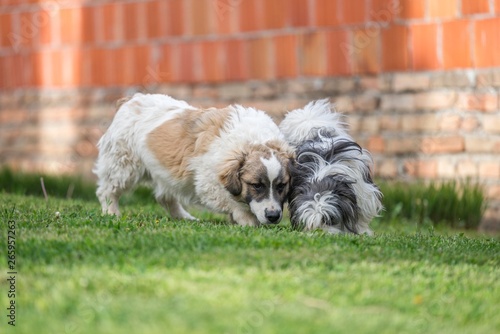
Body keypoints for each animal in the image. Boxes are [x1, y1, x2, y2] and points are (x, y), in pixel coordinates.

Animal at [93, 92, 292, 226]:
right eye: (256, 185)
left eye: (282, 186)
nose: (273, 217)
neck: (252, 142)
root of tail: (130, 100)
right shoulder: (208, 184)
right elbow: (235, 202)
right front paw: (248, 220)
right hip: (122, 164)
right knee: (107, 191)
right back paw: (111, 213)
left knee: (164, 197)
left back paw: (184, 217)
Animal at [280, 99, 380, 235]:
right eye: (309, 223)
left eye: (328, 220)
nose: (319, 232)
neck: (322, 177)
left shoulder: (364, 194)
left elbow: (361, 216)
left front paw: (362, 231)